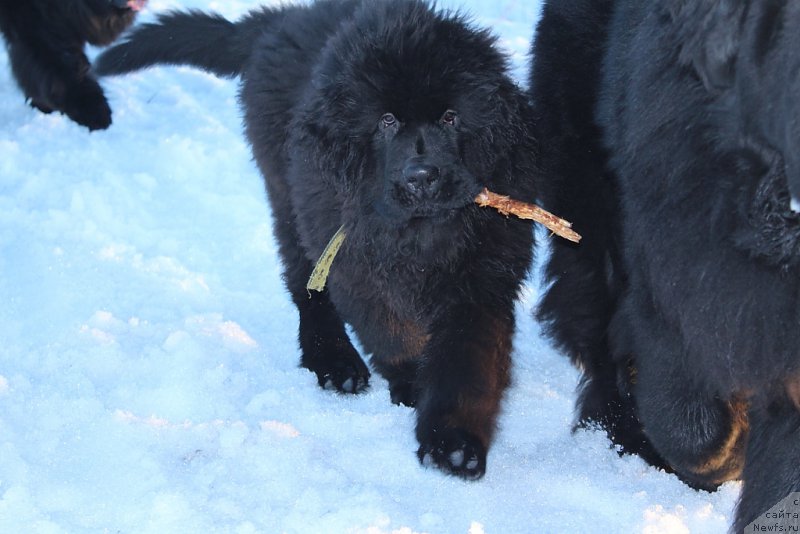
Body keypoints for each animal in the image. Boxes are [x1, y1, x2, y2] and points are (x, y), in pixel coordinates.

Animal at [98, 0, 536, 480]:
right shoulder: (353, 262)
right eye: (386, 121)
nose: (421, 177)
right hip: (290, 199)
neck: (418, 233)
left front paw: (453, 444)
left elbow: (467, 361)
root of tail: (280, 21)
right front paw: (411, 382)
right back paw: (334, 360)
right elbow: (391, 331)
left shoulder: (483, 277)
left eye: (450, 117)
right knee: (304, 283)